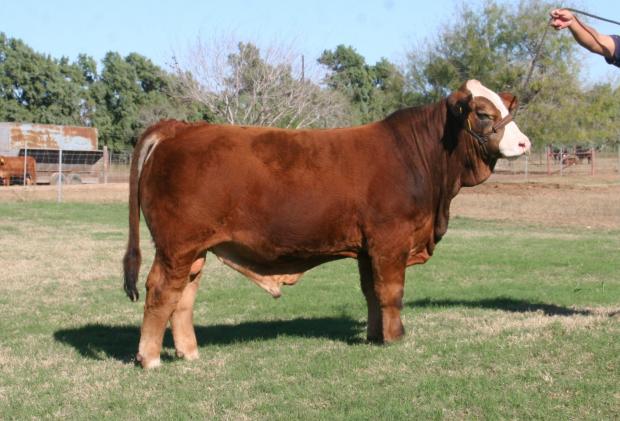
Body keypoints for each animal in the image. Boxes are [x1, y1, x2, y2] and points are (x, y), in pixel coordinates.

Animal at [123, 79, 532, 368]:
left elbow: (372, 293)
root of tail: (179, 127)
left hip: (194, 250)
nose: (524, 143)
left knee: (183, 296)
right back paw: (150, 358)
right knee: (161, 291)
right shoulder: (391, 240)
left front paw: (375, 336)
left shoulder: (368, 248)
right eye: (483, 113)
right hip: (176, 246)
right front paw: (396, 338)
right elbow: (392, 292)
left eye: (506, 106)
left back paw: (189, 353)